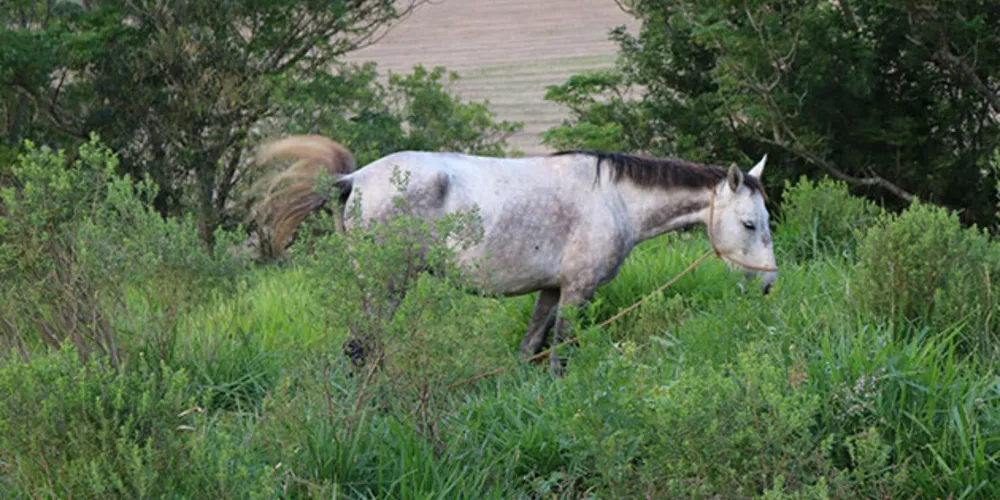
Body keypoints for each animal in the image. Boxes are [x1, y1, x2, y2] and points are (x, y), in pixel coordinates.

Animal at [247, 135, 778, 373]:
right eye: (750, 224)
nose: (769, 283)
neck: (614, 198)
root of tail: (353, 179)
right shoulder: (577, 292)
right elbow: (560, 351)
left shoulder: (551, 290)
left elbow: (529, 348)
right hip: (386, 287)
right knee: (361, 348)